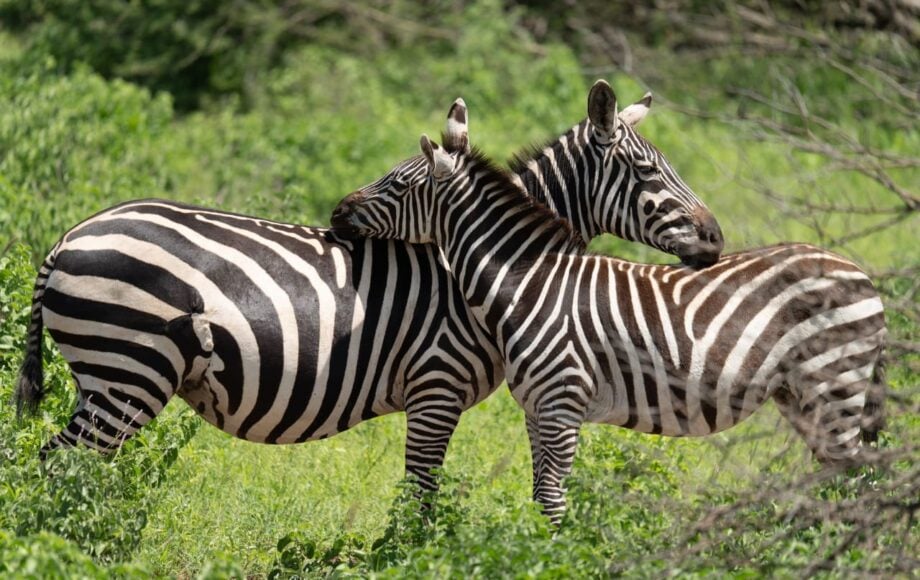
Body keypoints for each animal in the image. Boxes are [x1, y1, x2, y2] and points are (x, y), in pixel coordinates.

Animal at [15, 82, 721, 498]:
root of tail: (66, 237)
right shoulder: (436, 386)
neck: (487, 265)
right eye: (647, 171)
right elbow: (419, 494)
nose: (714, 239)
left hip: (108, 376)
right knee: (62, 467)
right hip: (128, 369)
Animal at [329, 103, 888, 524]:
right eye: (648, 169)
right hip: (802, 396)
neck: (528, 281)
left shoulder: (559, 402)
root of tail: (861, 273)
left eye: (398, 185)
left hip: (834, 385)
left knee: (859, 479)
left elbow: (552, 501)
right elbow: (540, 496)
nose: (337, 213)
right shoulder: (538, 409)